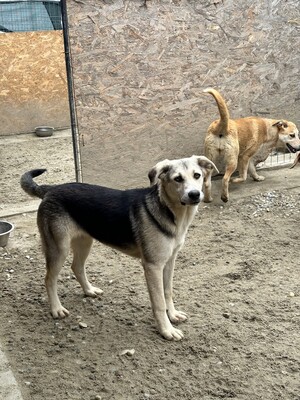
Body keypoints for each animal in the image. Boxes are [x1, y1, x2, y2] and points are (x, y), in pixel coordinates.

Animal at [21, 156, 217, 340]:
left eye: (197, 175)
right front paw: (167, 330)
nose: (194, 194)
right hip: (59, 248)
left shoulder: (169, 261)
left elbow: (167, 291)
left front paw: (173, 315)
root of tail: (51, 189)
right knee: (49, 279)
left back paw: (89, 290)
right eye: (177, 179)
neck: (170, 211)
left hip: (85, 242)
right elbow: (159, 302)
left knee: (76, 267)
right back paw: (56, 309)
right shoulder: (153, 266)